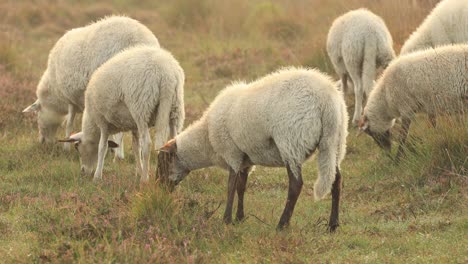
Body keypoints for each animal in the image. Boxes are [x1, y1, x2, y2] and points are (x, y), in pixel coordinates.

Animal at [22, 15, 162, 157]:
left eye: (37, 114)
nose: (42, 142)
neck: (54, 91)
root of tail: (138, 38)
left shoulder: (70, 100)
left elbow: (69, 124)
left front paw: (66, 148)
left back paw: (118, 155)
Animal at [57, 46, 184, 182]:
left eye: (77, 147)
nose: (83, 171)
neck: (92, 123)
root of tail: (166, 74)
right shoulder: (134, 126)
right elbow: (136, 147)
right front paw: (138, 171)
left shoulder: (103, 122)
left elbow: (102, 147)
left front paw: (97, 176)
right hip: (175, 108)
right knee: (173, 141)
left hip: (141, 107)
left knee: (147, 144)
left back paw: (144, 180)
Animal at [157, 67, 348, 231]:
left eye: (163, 163)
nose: (160, 190)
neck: (207, 139)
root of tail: (327, 100)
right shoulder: (245, 159)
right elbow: (241, 187)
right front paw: (239, 218)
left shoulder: (232, 153)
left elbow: (230, 186)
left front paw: (226, 219)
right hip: (335, 143)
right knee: (336, 180)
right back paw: (332, 225)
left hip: (292, 142)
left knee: (296, 185)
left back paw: (282, 224)